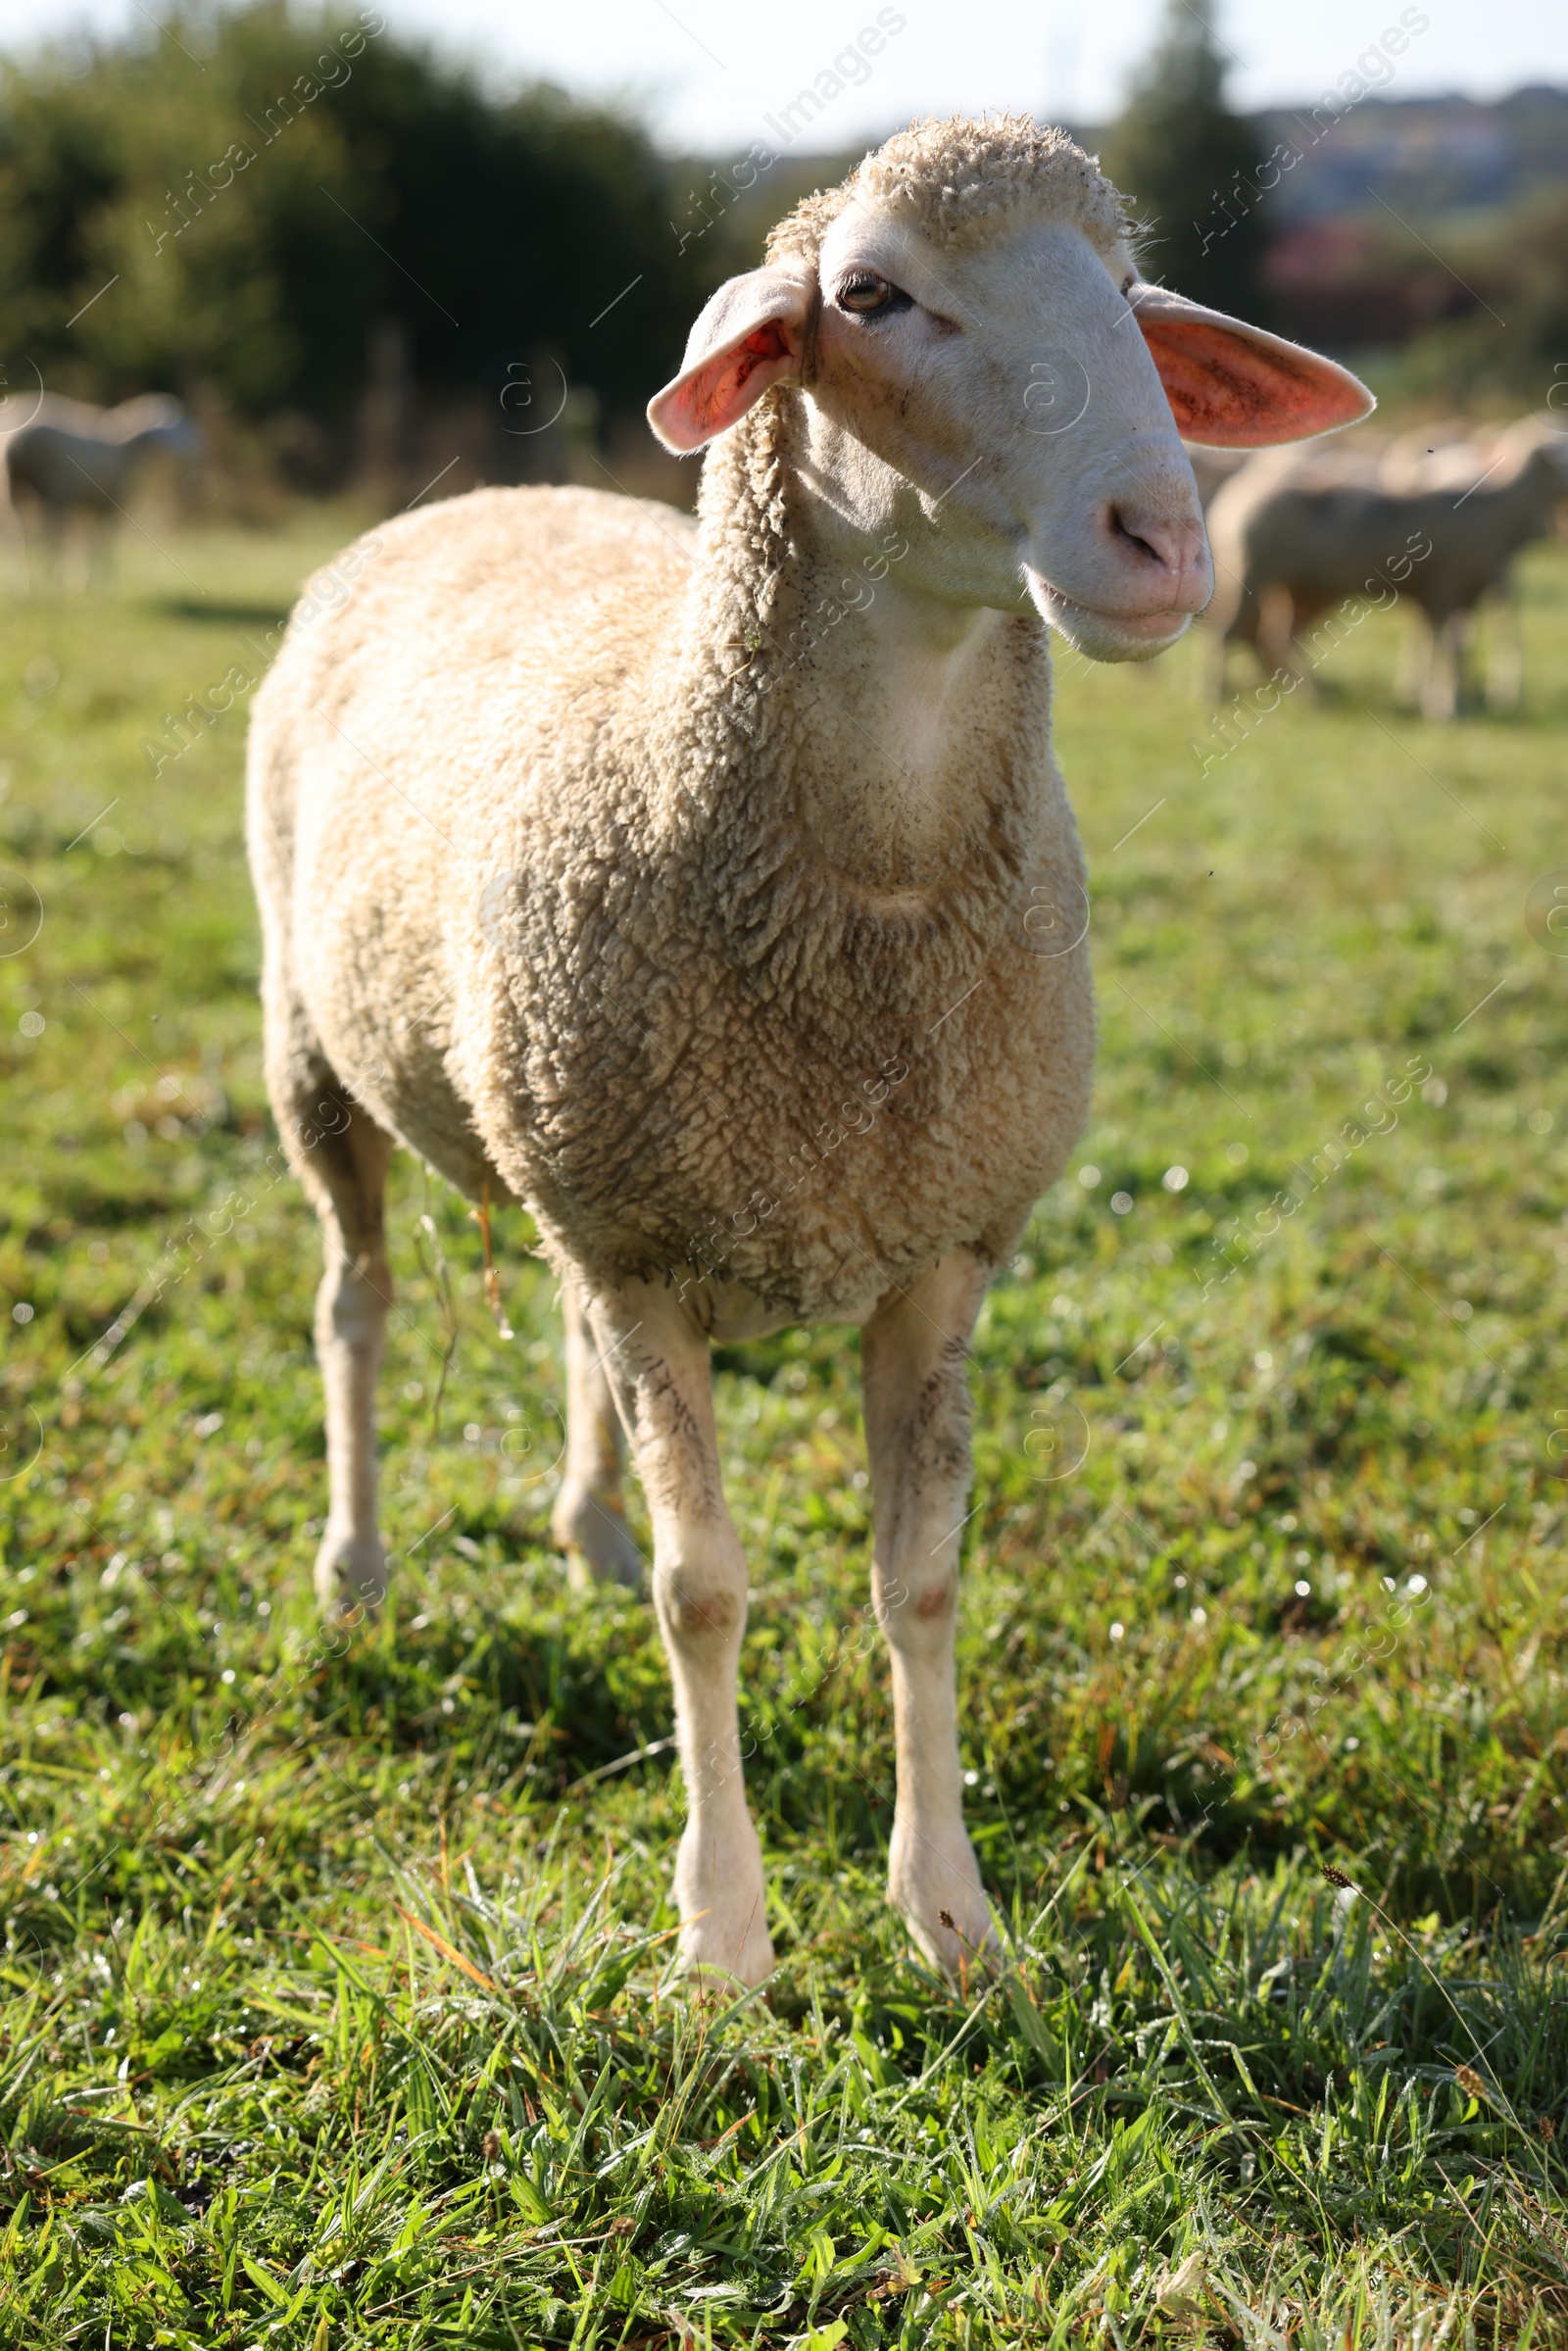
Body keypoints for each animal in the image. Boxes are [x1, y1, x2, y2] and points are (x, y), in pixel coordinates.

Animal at [248, 114, 1372, 1984]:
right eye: (870, 296)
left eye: (1128, 286)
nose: (1161, 537)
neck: (865, 913)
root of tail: (478, 495)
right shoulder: (644, 1239)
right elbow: (708, 1589)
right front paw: (722, 1938)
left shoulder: (930, 1246)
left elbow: (920, 1581)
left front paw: (954, 1915)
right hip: (314, 1050)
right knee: (355, 1303)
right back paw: (355, 1564)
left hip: (571, 1137)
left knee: (559, 1336)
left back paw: (584, 1520)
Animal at [1212, 418, 1560, 714]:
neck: (1501, 510)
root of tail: (1234, 496)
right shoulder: (1446, 588)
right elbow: (1450, 647)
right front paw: (1447, 706)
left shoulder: (1446, 594)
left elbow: (1442, 644)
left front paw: (1431, 698)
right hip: (1250, 573)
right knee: (1229, 634)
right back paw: (1215, 694)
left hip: (1297, 587)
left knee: (1278, 637)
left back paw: (1310, 696)